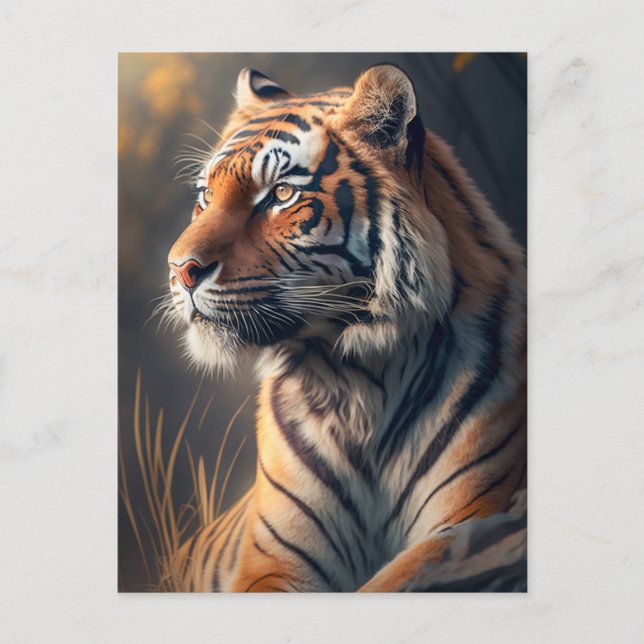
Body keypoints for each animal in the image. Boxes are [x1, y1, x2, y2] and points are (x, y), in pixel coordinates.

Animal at [165, 64, 527, 592]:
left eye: (281, 194)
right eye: (205, 197)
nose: (179, 270)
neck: (354, 377)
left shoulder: (470, 521)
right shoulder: (272, 560)